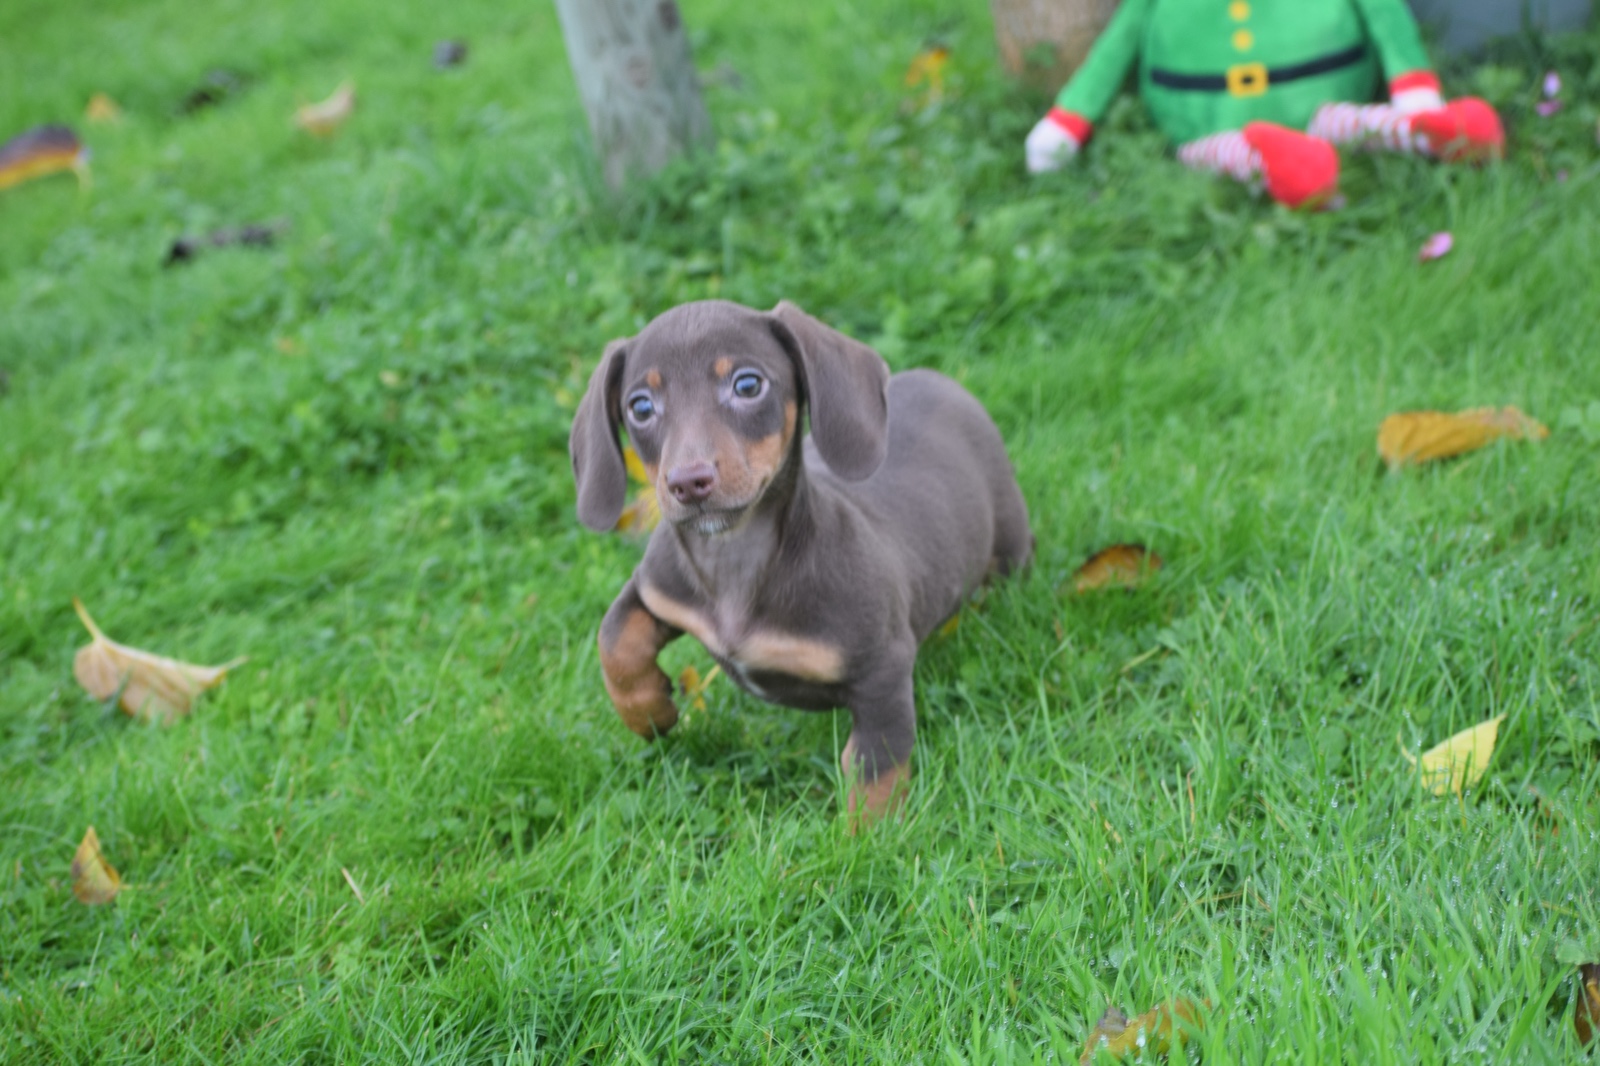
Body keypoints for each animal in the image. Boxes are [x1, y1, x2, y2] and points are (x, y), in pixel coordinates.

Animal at [569, 300, 1031, 820]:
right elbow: (615, 639)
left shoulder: (882, 670)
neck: (735, 558)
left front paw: (870, 836)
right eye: (641, 407)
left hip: (1009, 544)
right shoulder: (655, 587)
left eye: (748, 385)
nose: (688, 482)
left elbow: (876, 769)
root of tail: (946, 382)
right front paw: (649, 711)